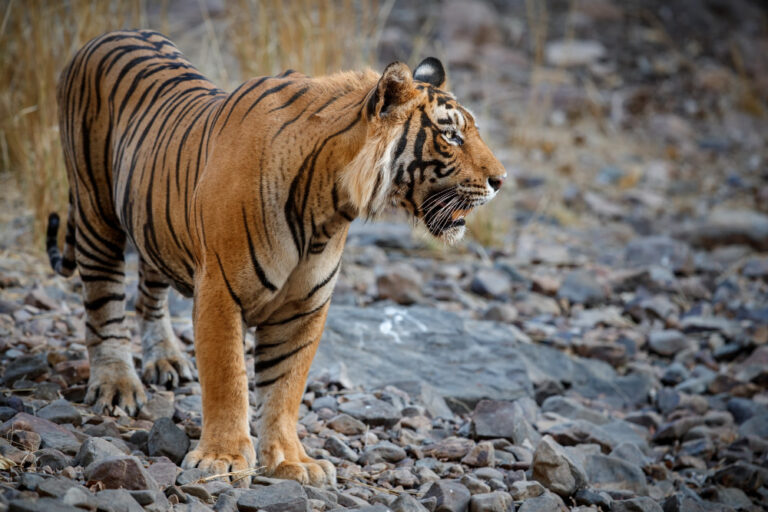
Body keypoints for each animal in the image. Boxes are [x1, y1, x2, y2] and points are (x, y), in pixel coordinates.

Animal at [46, 30, 504, 486]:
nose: (500, 180)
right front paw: (223, 459)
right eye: (451, 136)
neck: (328, 207)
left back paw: (166, 360)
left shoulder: (304, 306)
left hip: (152, 219)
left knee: (149, 291)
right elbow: (229, 377)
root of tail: (107, 35)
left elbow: (285, 387)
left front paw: (291, 460)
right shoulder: (219, 290)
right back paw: (117, 386)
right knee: (103, 303)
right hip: (95, 211)